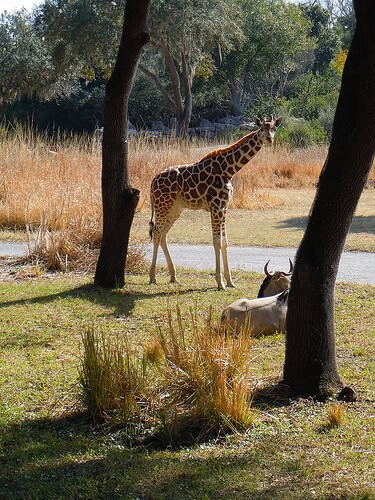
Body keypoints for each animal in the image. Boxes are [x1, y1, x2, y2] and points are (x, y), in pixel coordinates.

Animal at [149, 114, 282, 290]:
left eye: (274, 128)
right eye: (261, 128)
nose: (270, 139)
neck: (229, 169)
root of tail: (152, 182)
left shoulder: (224, 207)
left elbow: (225, 242)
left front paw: (230, 281)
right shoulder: (216, 206)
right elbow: (217, 242)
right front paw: (220, 283)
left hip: (175, 209)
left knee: (163, 234)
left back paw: (173, 276)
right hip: (162, 205)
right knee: (157, 233)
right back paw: (152, 277)